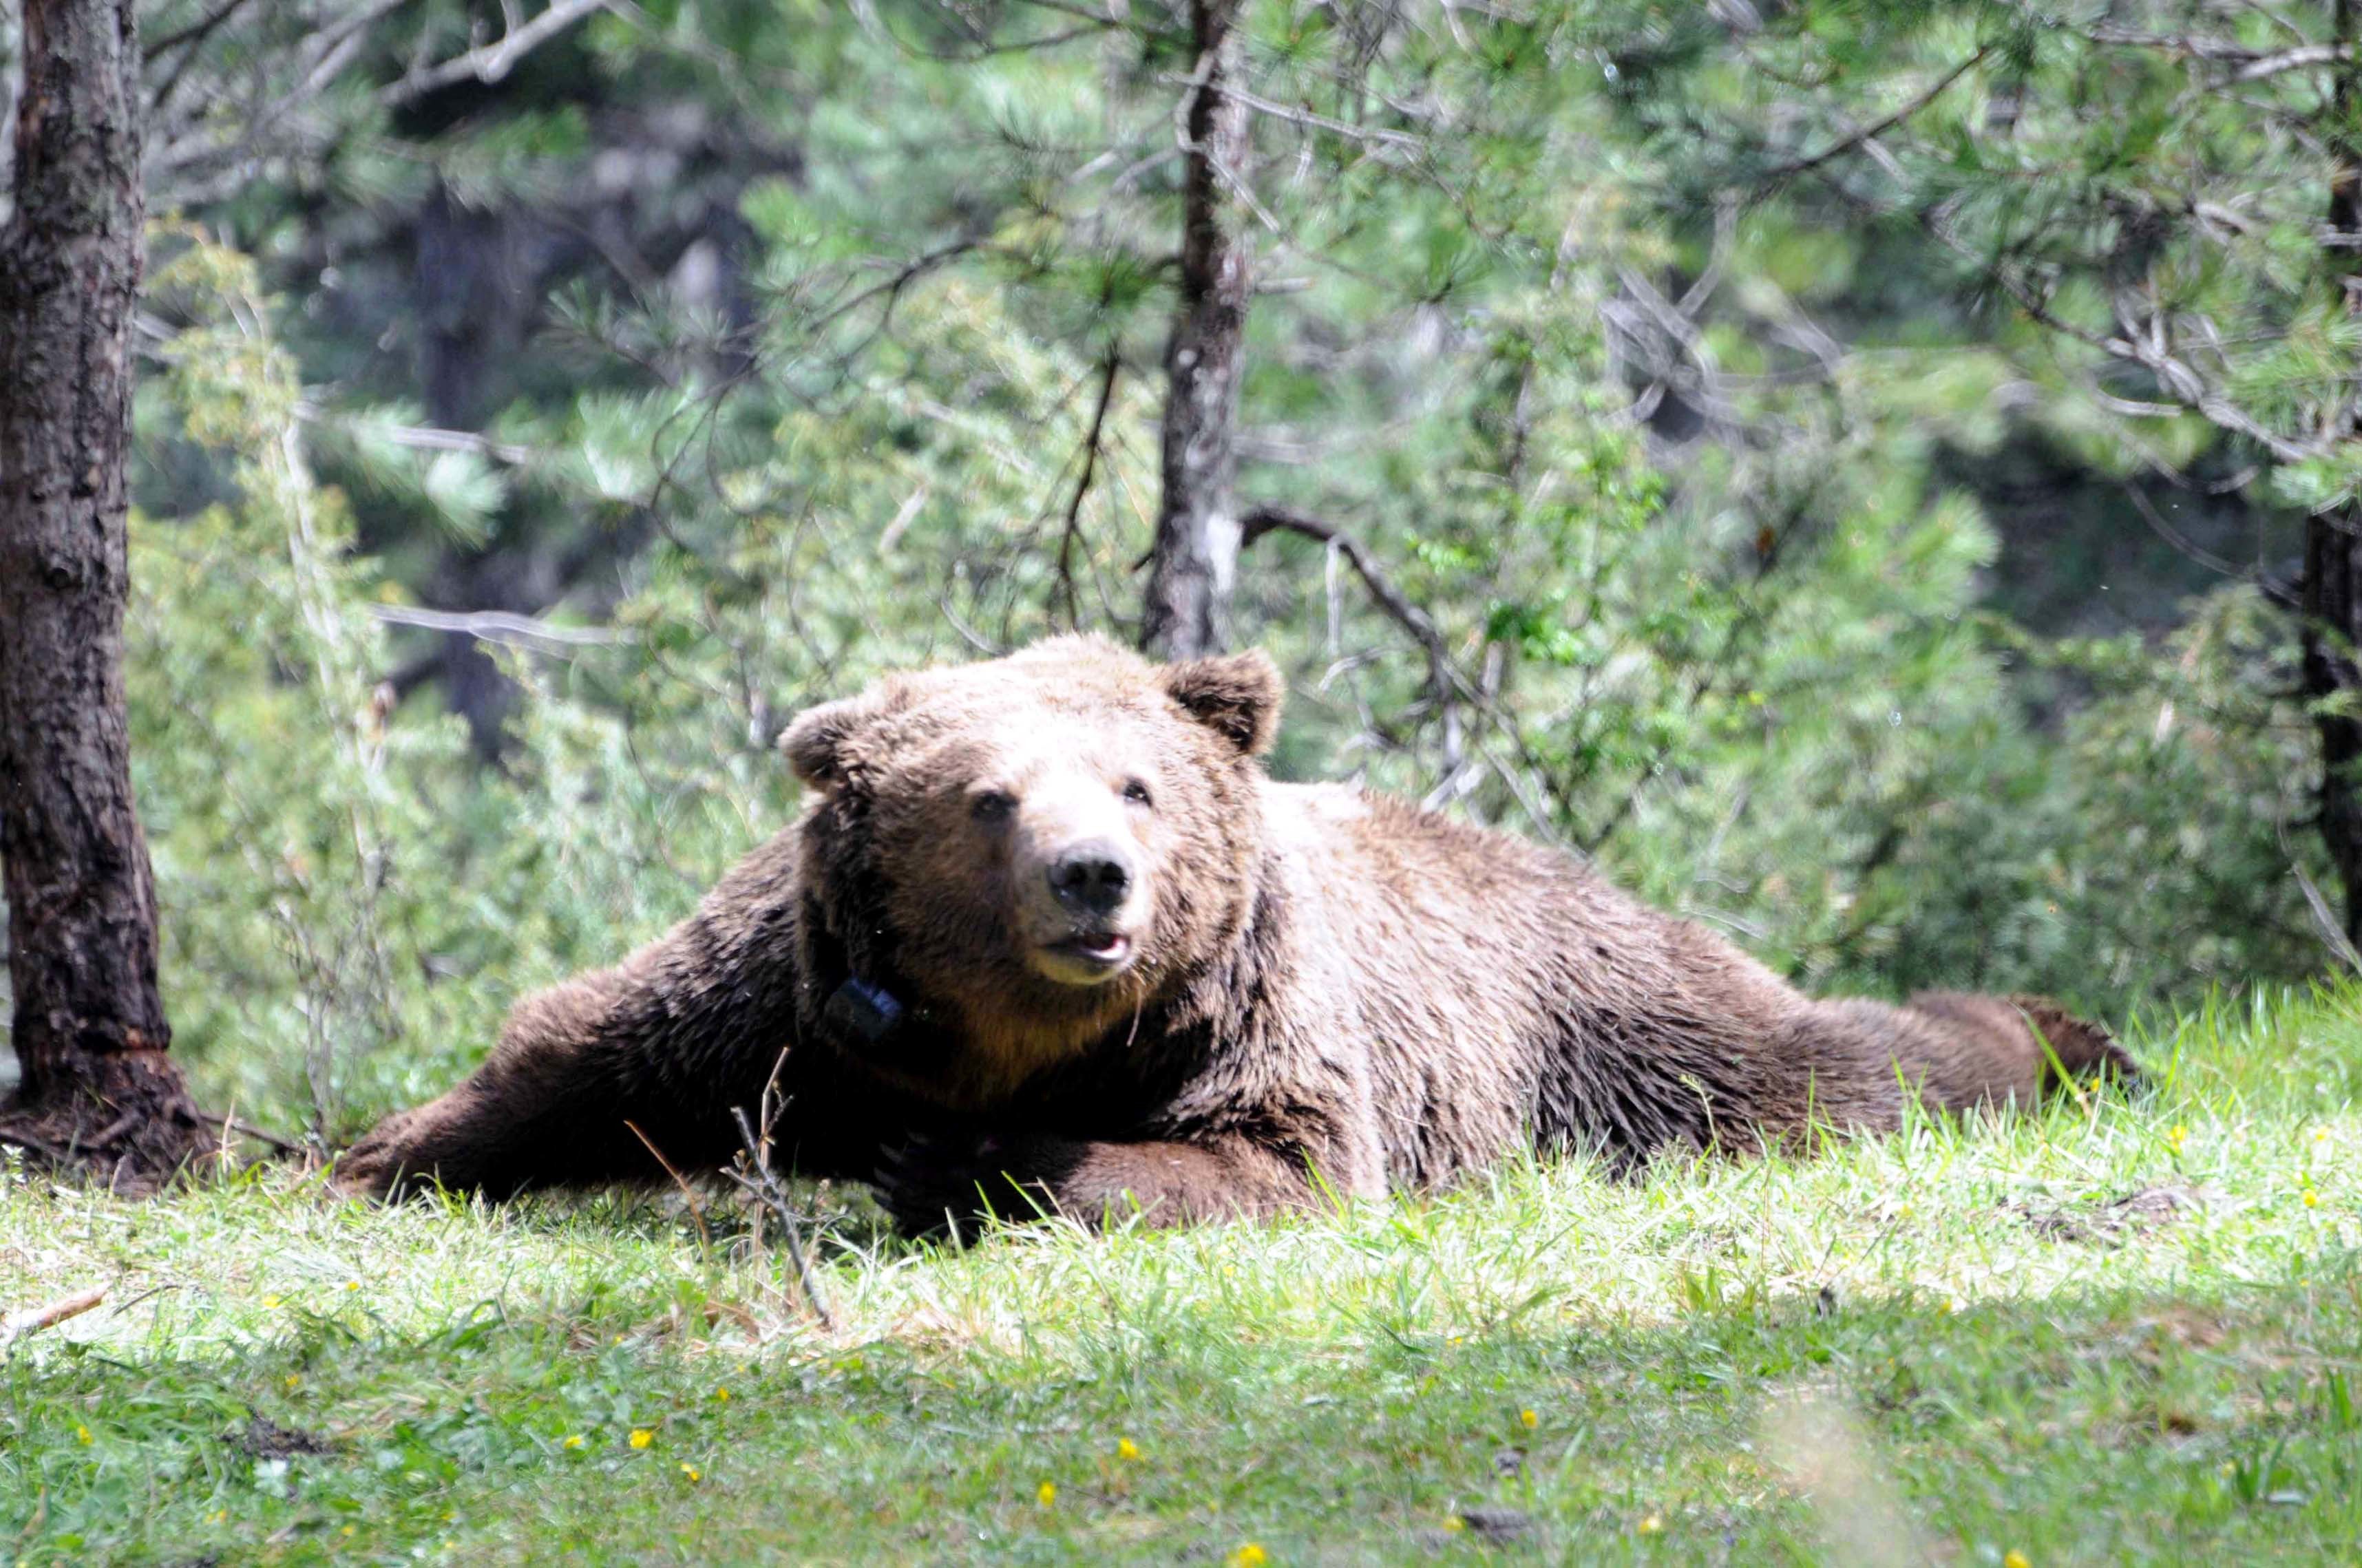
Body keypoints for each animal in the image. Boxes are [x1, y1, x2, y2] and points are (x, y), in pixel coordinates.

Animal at [342, 633, 2135, 1227]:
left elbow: (1268, 1153)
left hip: (1598, 1018)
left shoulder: (1243, 1013)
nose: (1091, 881)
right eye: (986, 796)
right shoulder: (780, 987)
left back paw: (2068, 1035)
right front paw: (366, 1152)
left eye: (1136, 784)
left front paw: (971, 1166)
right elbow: (595, 1048)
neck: (1004, 1032)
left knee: (1824, 1069)